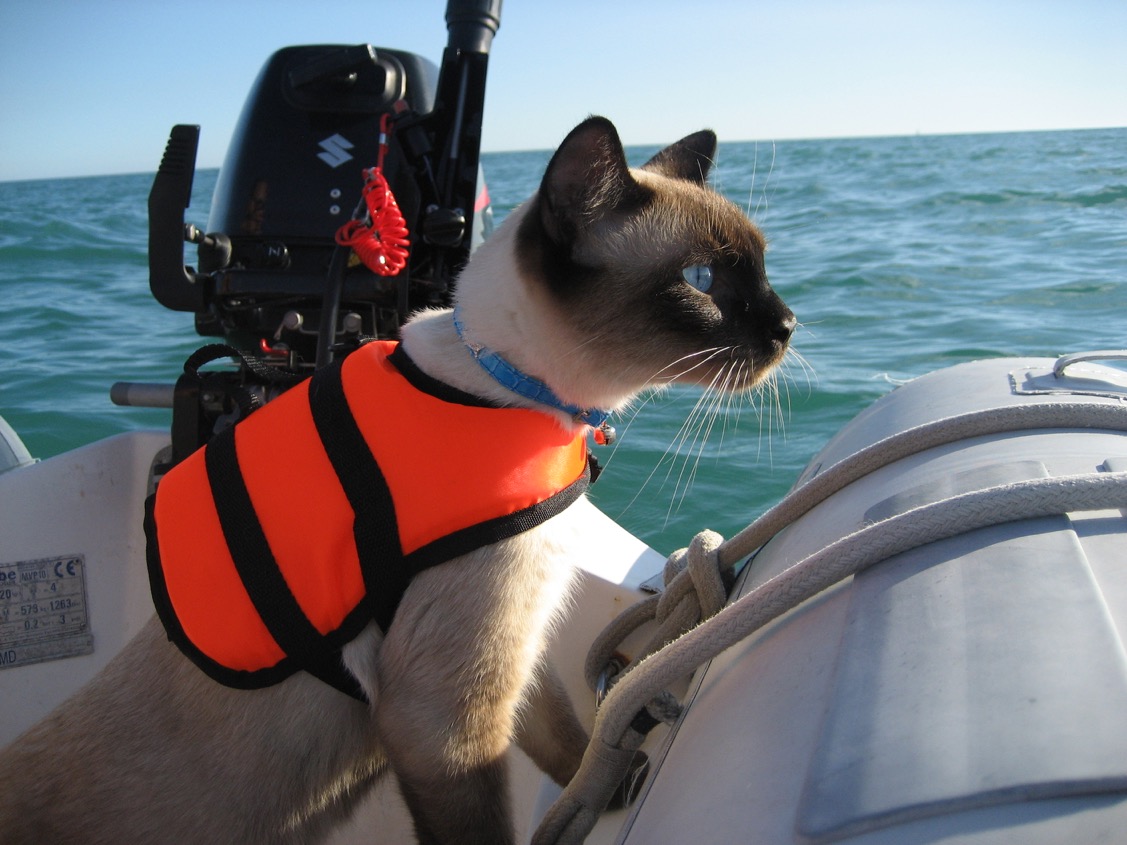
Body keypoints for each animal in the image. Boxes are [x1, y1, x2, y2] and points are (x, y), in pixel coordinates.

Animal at [0, 116, 793, 842]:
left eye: (760, 269)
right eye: (701, 282)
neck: (510, 389)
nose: (789, 325)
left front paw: (604, 788)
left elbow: (565, 737)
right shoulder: (440, 718)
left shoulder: (519, 644)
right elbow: (484, 815)